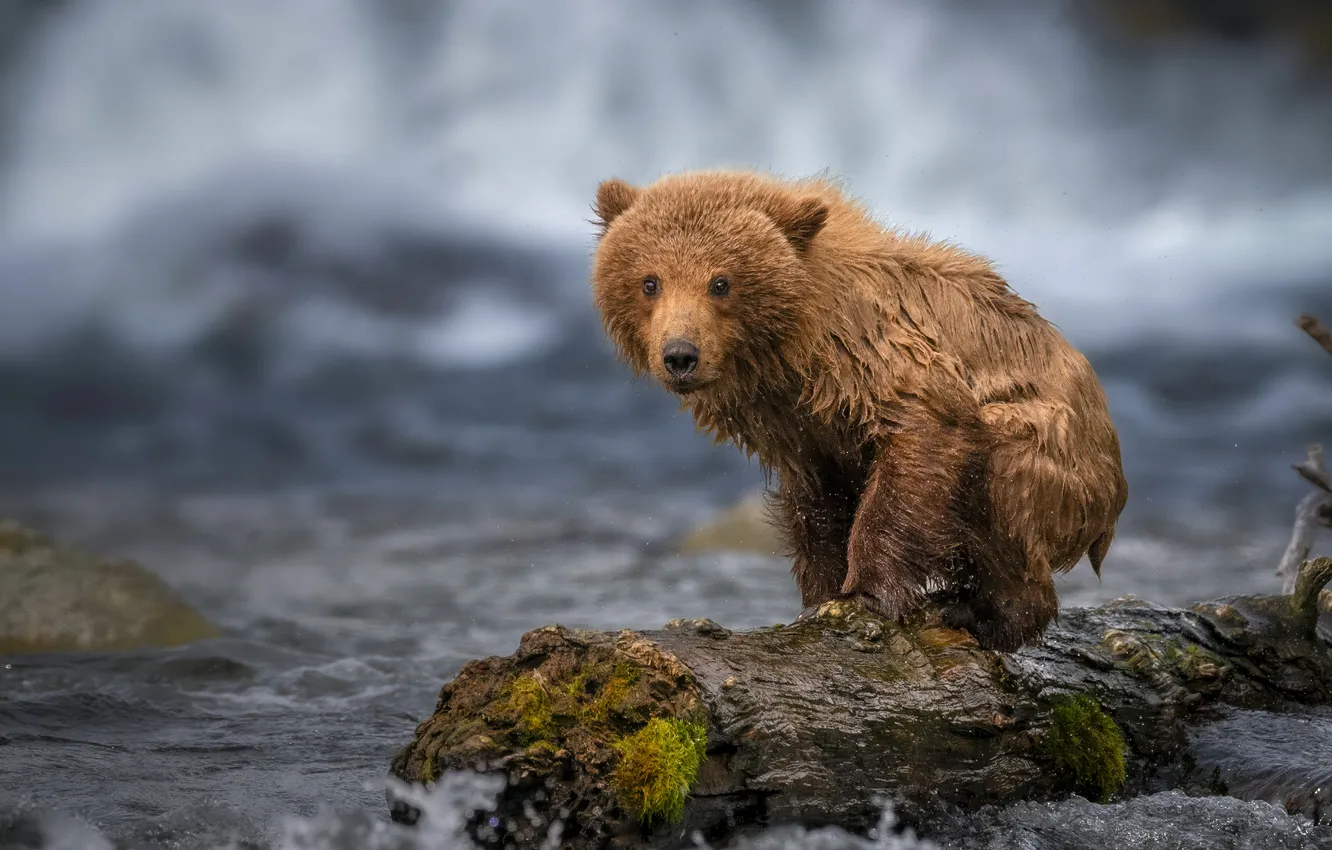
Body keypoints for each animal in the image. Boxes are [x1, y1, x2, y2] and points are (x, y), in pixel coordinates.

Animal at [588, 169, 1128, 651]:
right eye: (650, 281)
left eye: (720, 282)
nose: (680, 355)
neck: (795, 348)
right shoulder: (799, 430)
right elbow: (816, 508)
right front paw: (818, 599)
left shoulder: (881, 359)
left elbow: (922, 441)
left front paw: (867, 593)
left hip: (1052, 451)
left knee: (1004, 486)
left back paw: (979, 612)